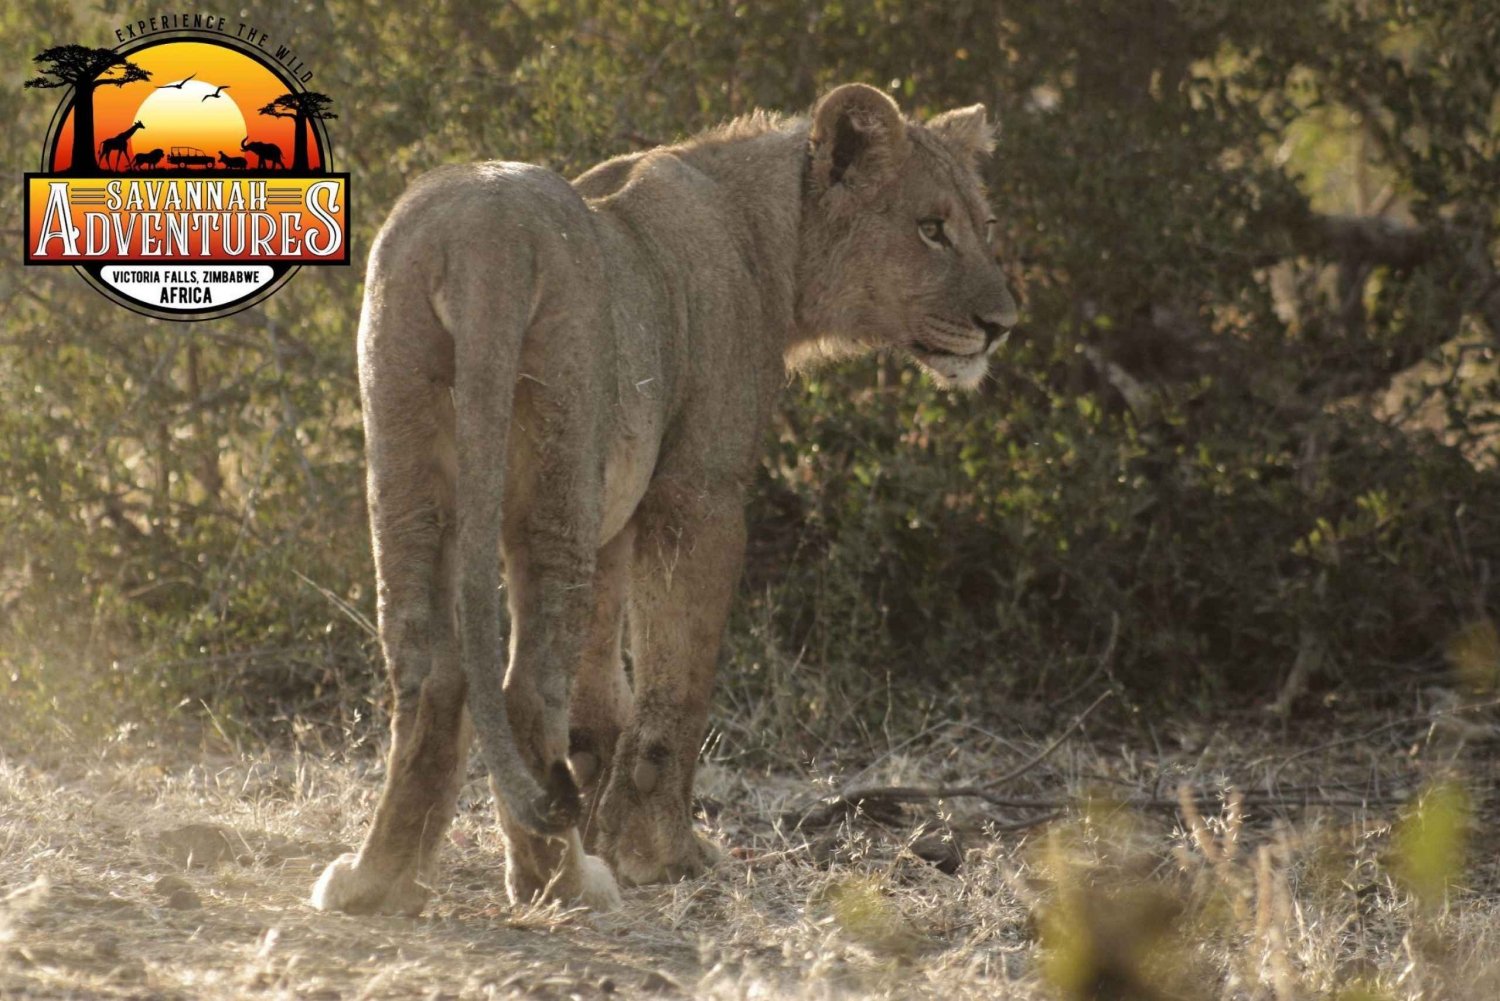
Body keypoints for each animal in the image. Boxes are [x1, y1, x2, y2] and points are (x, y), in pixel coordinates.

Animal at [313, 84, 1020, 918]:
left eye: (985, 226)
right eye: (930, 228)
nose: (1002, 324)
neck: (770, 234)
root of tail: (486, 236)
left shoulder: (617, 511)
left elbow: (603, 687)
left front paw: (606, 821)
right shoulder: (699, 489)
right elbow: (675, 683)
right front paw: (661, 854)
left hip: (405, 449)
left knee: (428, 671)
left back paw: (379, 879)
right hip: (559, 455)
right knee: (525, 689)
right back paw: (563, 881)